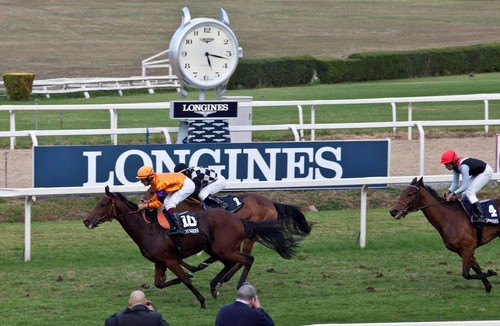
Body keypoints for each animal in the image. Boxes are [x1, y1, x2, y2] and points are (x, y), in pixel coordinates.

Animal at [83, 186, 298, 308]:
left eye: (102, 204)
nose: (87, 221)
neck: (148, 228)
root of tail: (239, 219)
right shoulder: (160, 261)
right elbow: (159, 283)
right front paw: (186, 276)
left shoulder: (169, 259)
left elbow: (185, 280)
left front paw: (201, 300)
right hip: (218, 248)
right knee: (231, 263)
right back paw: (215, 284)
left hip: (225, 248)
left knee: (247, 259)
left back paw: (236, 285)